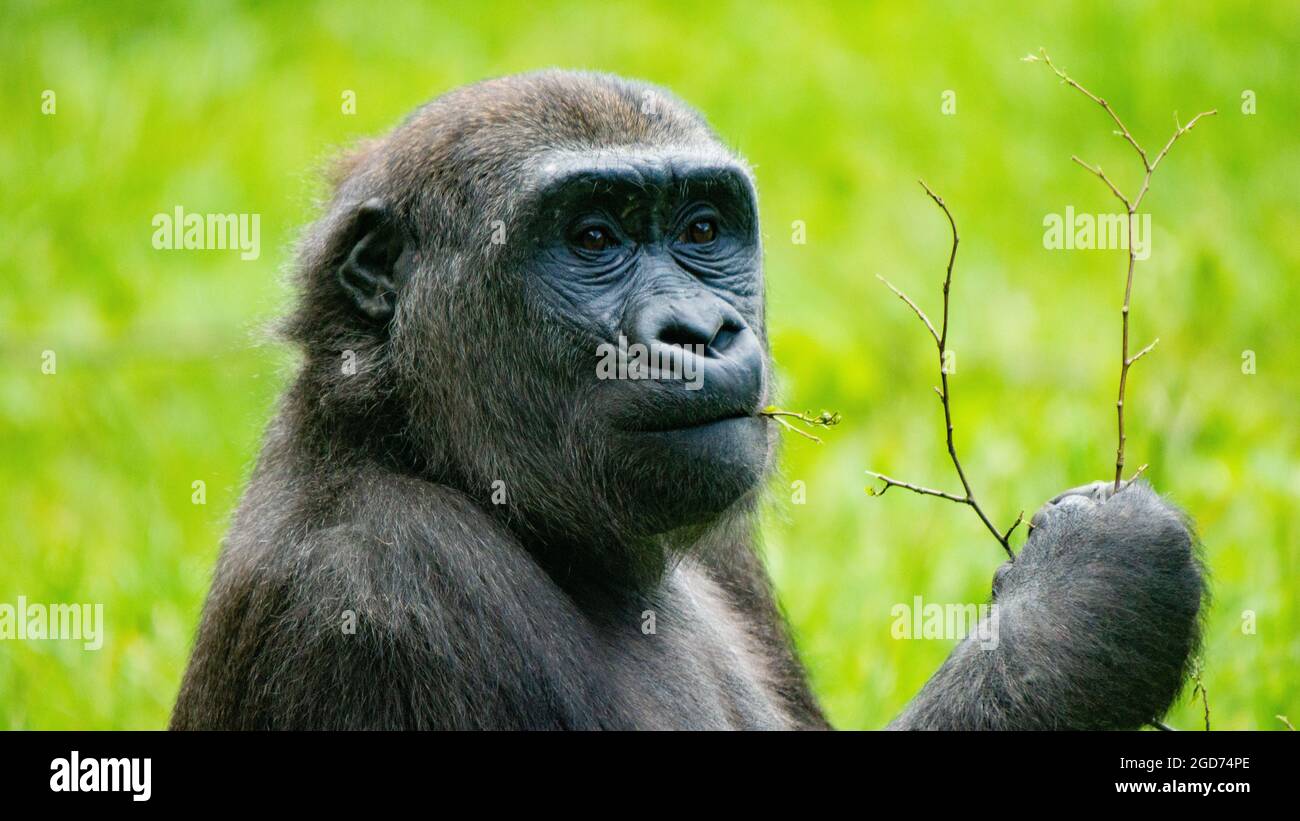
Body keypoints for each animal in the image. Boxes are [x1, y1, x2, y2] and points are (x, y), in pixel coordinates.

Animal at [170, 71, 1205, 730]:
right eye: (591, 238)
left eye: (703, 229)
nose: (700, 331)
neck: (408, 442)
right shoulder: (377, 588)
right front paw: (1088, 600)